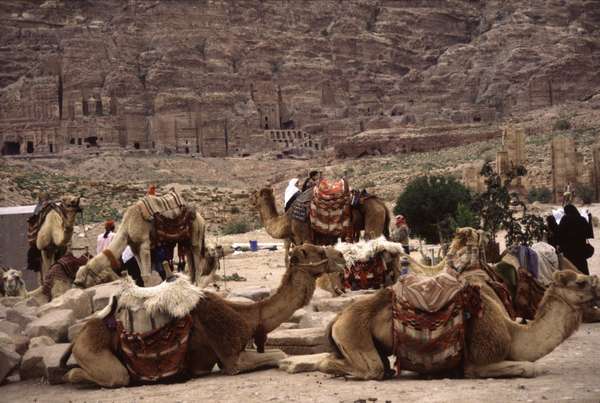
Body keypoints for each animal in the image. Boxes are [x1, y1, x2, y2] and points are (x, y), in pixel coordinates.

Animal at [62, 243, 344, 388]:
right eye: (319, 251)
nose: (341, 256)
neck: (251, 316)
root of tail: (78, 338)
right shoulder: (232, 359)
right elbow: (280, 354)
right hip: (95, 353)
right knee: (108, 376)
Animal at [296, 229, 600, 380]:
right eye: (580, 283)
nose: (597, 287)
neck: (513, 332)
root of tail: (337, 319)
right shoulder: (479, 363)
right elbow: (529, 367)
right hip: (353, 334)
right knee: (364, 368)